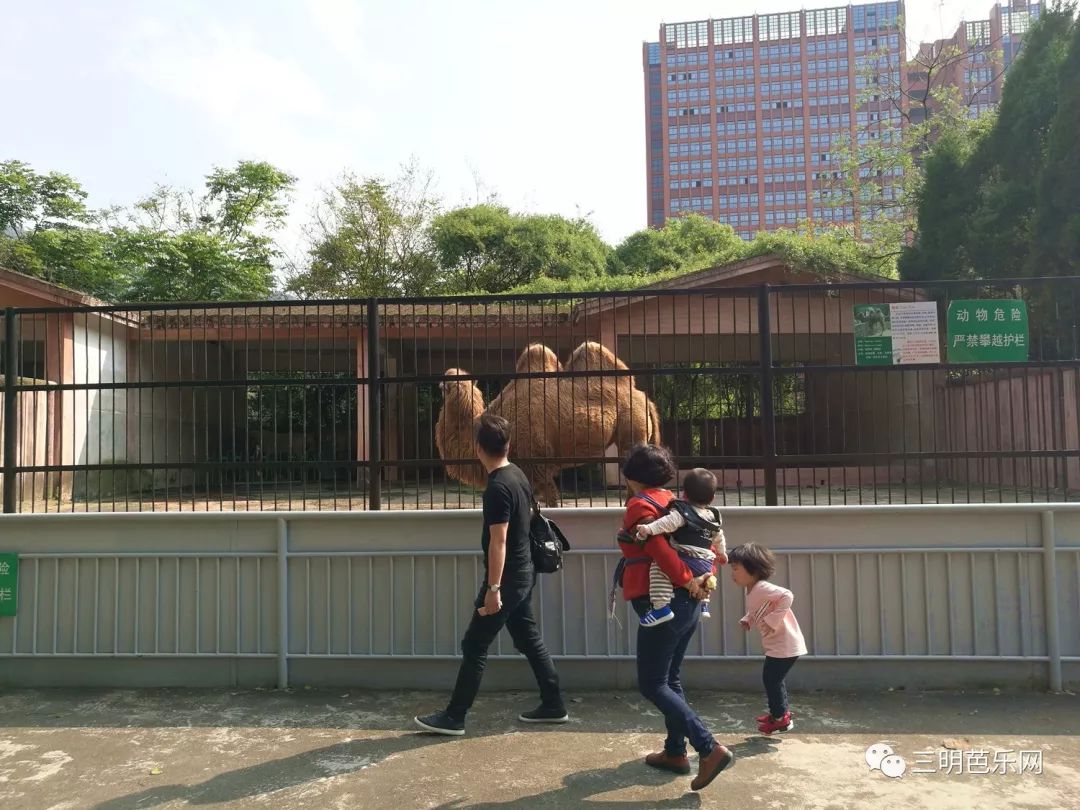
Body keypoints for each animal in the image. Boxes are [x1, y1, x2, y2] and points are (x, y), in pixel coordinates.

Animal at [434, 343, 660, 507]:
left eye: (445, 387)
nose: (440, 384)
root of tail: (644, 398)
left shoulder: (538, 461)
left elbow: (551, 500)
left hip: (632, 430)